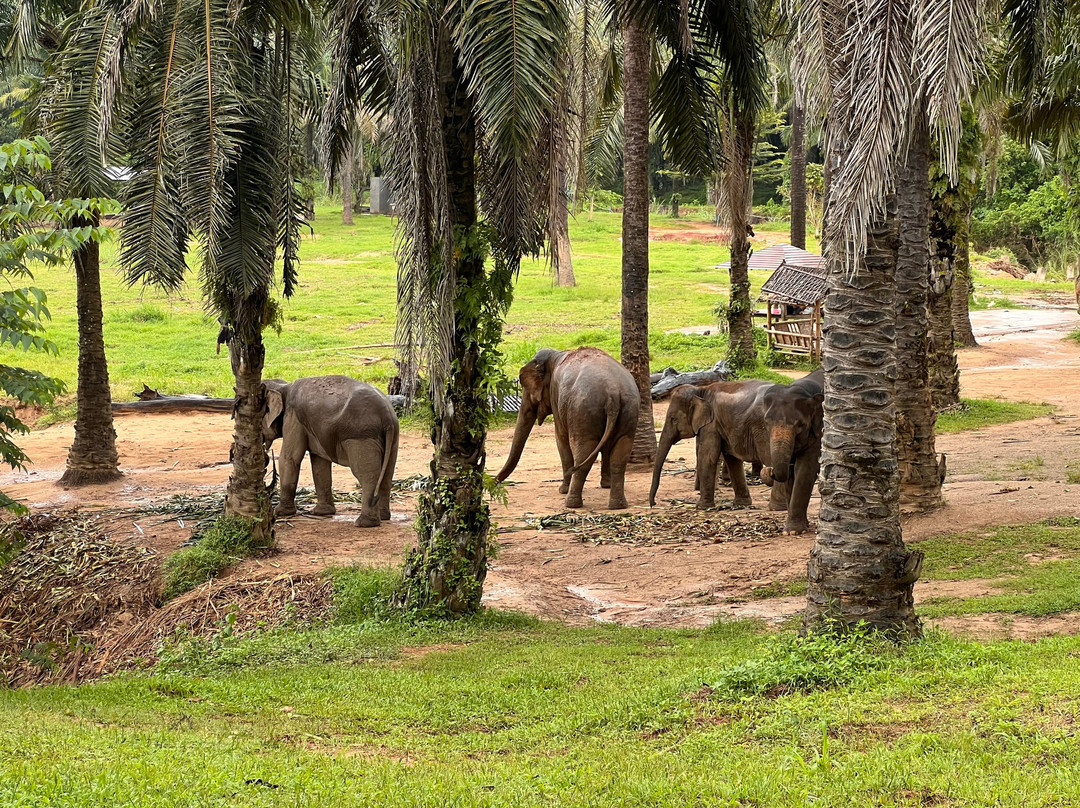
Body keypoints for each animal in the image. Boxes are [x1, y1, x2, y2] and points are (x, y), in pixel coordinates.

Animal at [263, 375, 400, 527]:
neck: (283, 386)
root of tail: (387, 417)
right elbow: (319, 463)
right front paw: (322, 513)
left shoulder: (293, 418)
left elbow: (290, 458)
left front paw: (279, 512)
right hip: (393, 438)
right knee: (387, 474)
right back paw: (384, 517)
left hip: (361, 437)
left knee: (366, 475)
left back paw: (364, 523)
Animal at [496, 347, 639, 510]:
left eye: (527, 389)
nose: (495, 481)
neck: (556, 354)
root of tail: (613, 393)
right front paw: (606, 485)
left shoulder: (556, 397)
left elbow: (561, 439)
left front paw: (562, 490)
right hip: (628, 410)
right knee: (620, 456)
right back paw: (618, 505)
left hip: (583, 412)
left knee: (584, 454)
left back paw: (571, 503)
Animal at [649, 369, 824, 535]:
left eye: (672, 418)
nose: (653, 504)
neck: (701, 390)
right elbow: (731, 457)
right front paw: (741, 504)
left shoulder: (711, 424)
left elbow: (708, 456)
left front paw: (702, 507)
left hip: (762, 432)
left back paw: (776, 508)